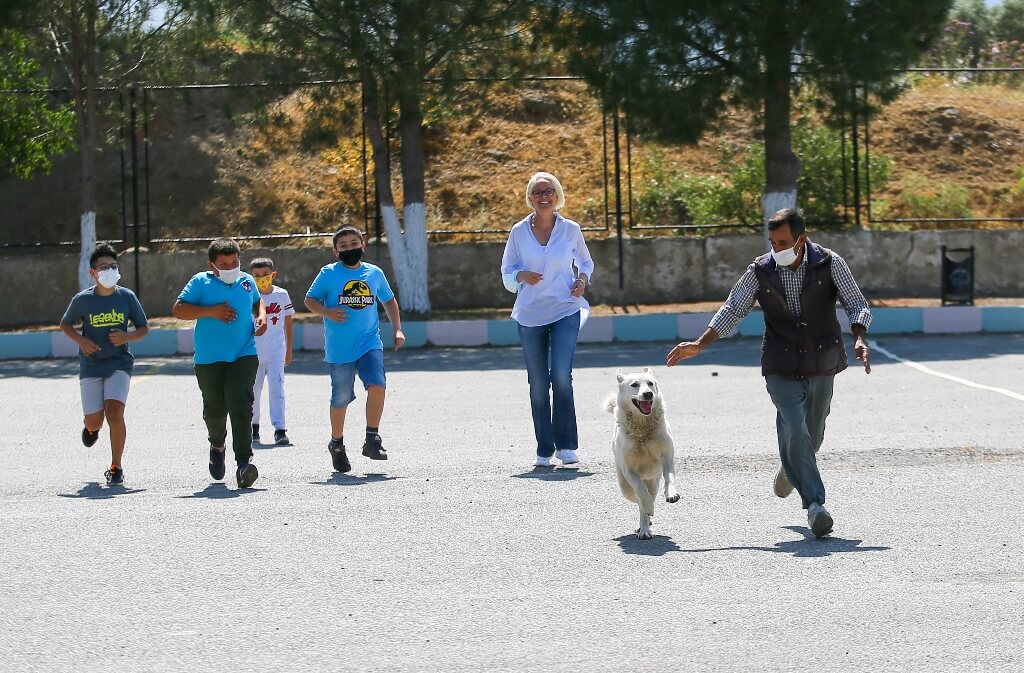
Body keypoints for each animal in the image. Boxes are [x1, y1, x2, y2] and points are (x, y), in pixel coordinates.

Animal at [606, 370, 679, 536]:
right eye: (634, 384)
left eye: (650, 383)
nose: (648, 394)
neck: (643, 428)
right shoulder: (629, 470)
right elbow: (641, 493)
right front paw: (649, 507)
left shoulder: (667, 457)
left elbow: (669, 477)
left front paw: (671, 494)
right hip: (624, 486)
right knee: (639, 499)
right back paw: (644, 528)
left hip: (653, 482)